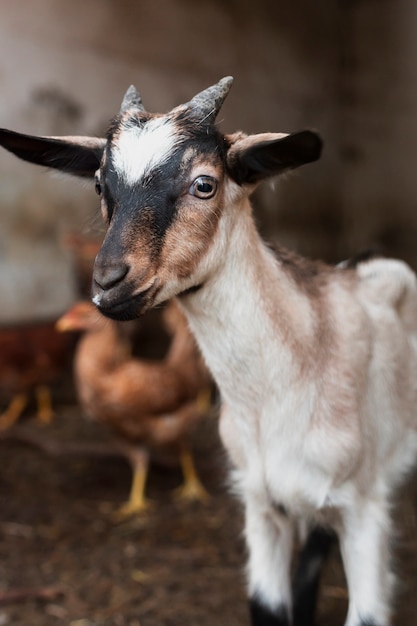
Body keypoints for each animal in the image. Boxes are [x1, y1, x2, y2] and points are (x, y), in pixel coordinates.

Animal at [0, 77, 416, 624]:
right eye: (99, 185)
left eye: (205, 184)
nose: (109, 283)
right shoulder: (262, 502)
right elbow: (268, 605)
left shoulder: (364, 505)